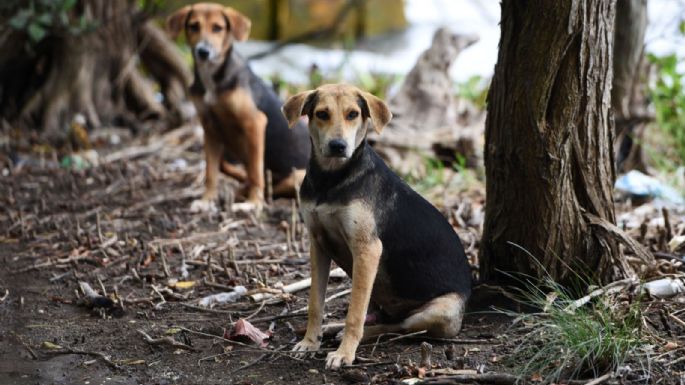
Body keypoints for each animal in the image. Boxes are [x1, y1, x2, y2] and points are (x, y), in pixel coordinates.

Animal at [282, 85, 470, 368]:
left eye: (353, 114)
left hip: (441, 311)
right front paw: (309, 342)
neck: (331, 179)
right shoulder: (318, 244)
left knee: (401, 326)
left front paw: (344, 354)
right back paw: (332, 328)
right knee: (385, 318)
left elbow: (355, 313)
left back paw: (350, 334)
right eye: (322, 114)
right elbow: (315, 303)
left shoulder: (367, 249)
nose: (338, 146)